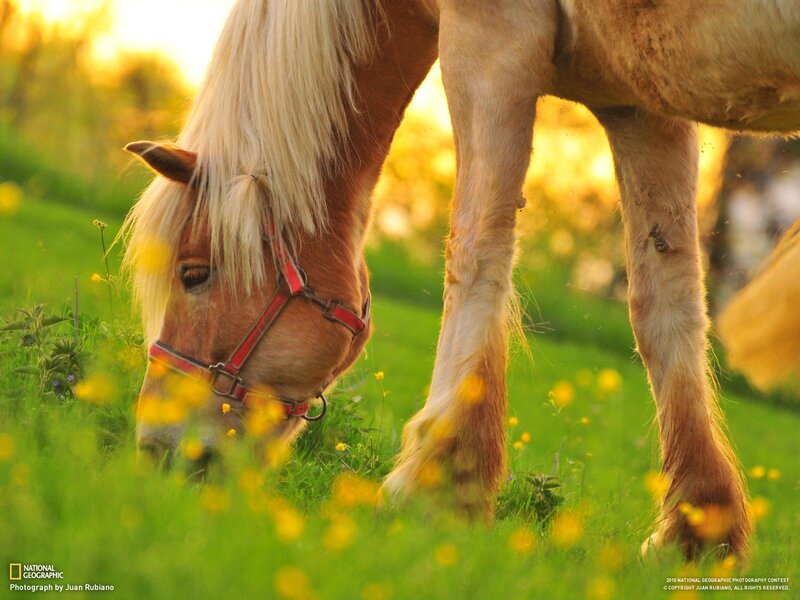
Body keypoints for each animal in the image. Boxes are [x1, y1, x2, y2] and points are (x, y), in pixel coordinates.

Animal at [123, 0, 800, 560]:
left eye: (193, 274)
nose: (155, 448)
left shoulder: (490, 40)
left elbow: (476, 248)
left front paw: (440, 481)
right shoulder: (641, 102)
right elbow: (666, 304)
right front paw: (697, 529)